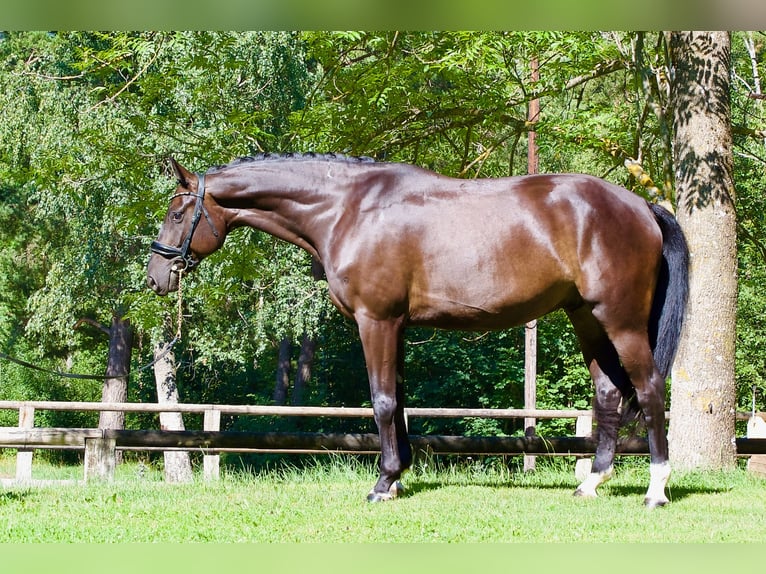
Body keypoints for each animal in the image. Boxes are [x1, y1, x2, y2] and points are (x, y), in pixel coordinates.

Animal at [147, 153, 689, 508]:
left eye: (176, 213)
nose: (156, 277)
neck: (347, 209)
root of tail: (641, 205)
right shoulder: (399, 326)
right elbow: (400, 402)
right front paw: (399, 477)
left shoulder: (377, 321)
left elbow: (383, 401)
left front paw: (382, 483)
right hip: (586, 318)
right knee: (609, 393)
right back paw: (591, 483)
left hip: (620, 320)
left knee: (649, 389)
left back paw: (656, 490)